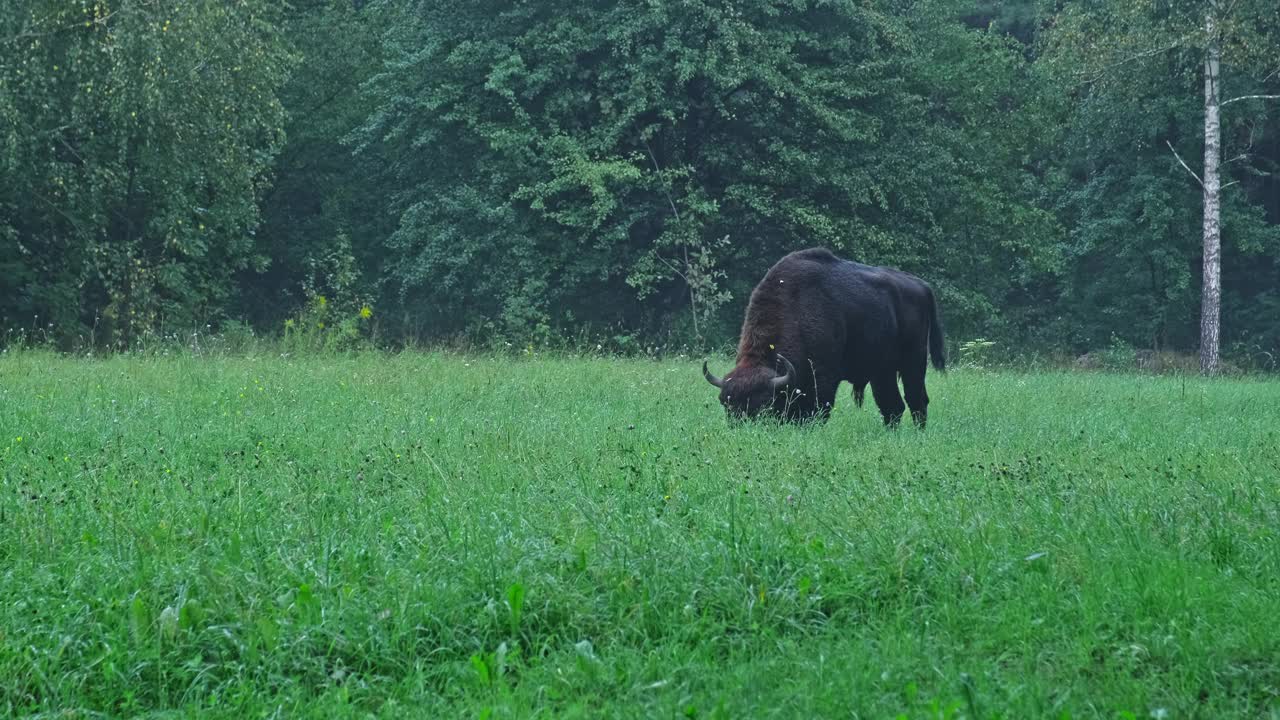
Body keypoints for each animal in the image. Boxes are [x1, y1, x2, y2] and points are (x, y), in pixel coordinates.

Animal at [706, 245, 947, 425]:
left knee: (916, 400)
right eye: (725, 403)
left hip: (913, 363)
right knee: (892, 405)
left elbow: (818, 409)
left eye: (764, 403)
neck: (794, 307)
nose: (741, 427)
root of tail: (922, 286)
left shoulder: (823, 378)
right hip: (882, 371)